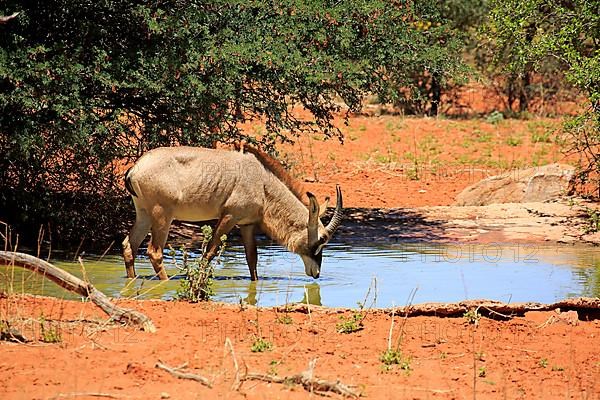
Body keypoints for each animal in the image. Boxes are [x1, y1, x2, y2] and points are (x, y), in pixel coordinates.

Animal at [122, 145, 342, 280]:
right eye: (320, 240)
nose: (316, 273)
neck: (261, 181)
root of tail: (136, 168)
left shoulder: (247, 224)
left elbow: (252, 258)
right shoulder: (229, 217)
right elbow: (210, 252)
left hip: (144, 214)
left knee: (128, 246)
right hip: (162, 215)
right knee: (154, 251)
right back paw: (166, 282)